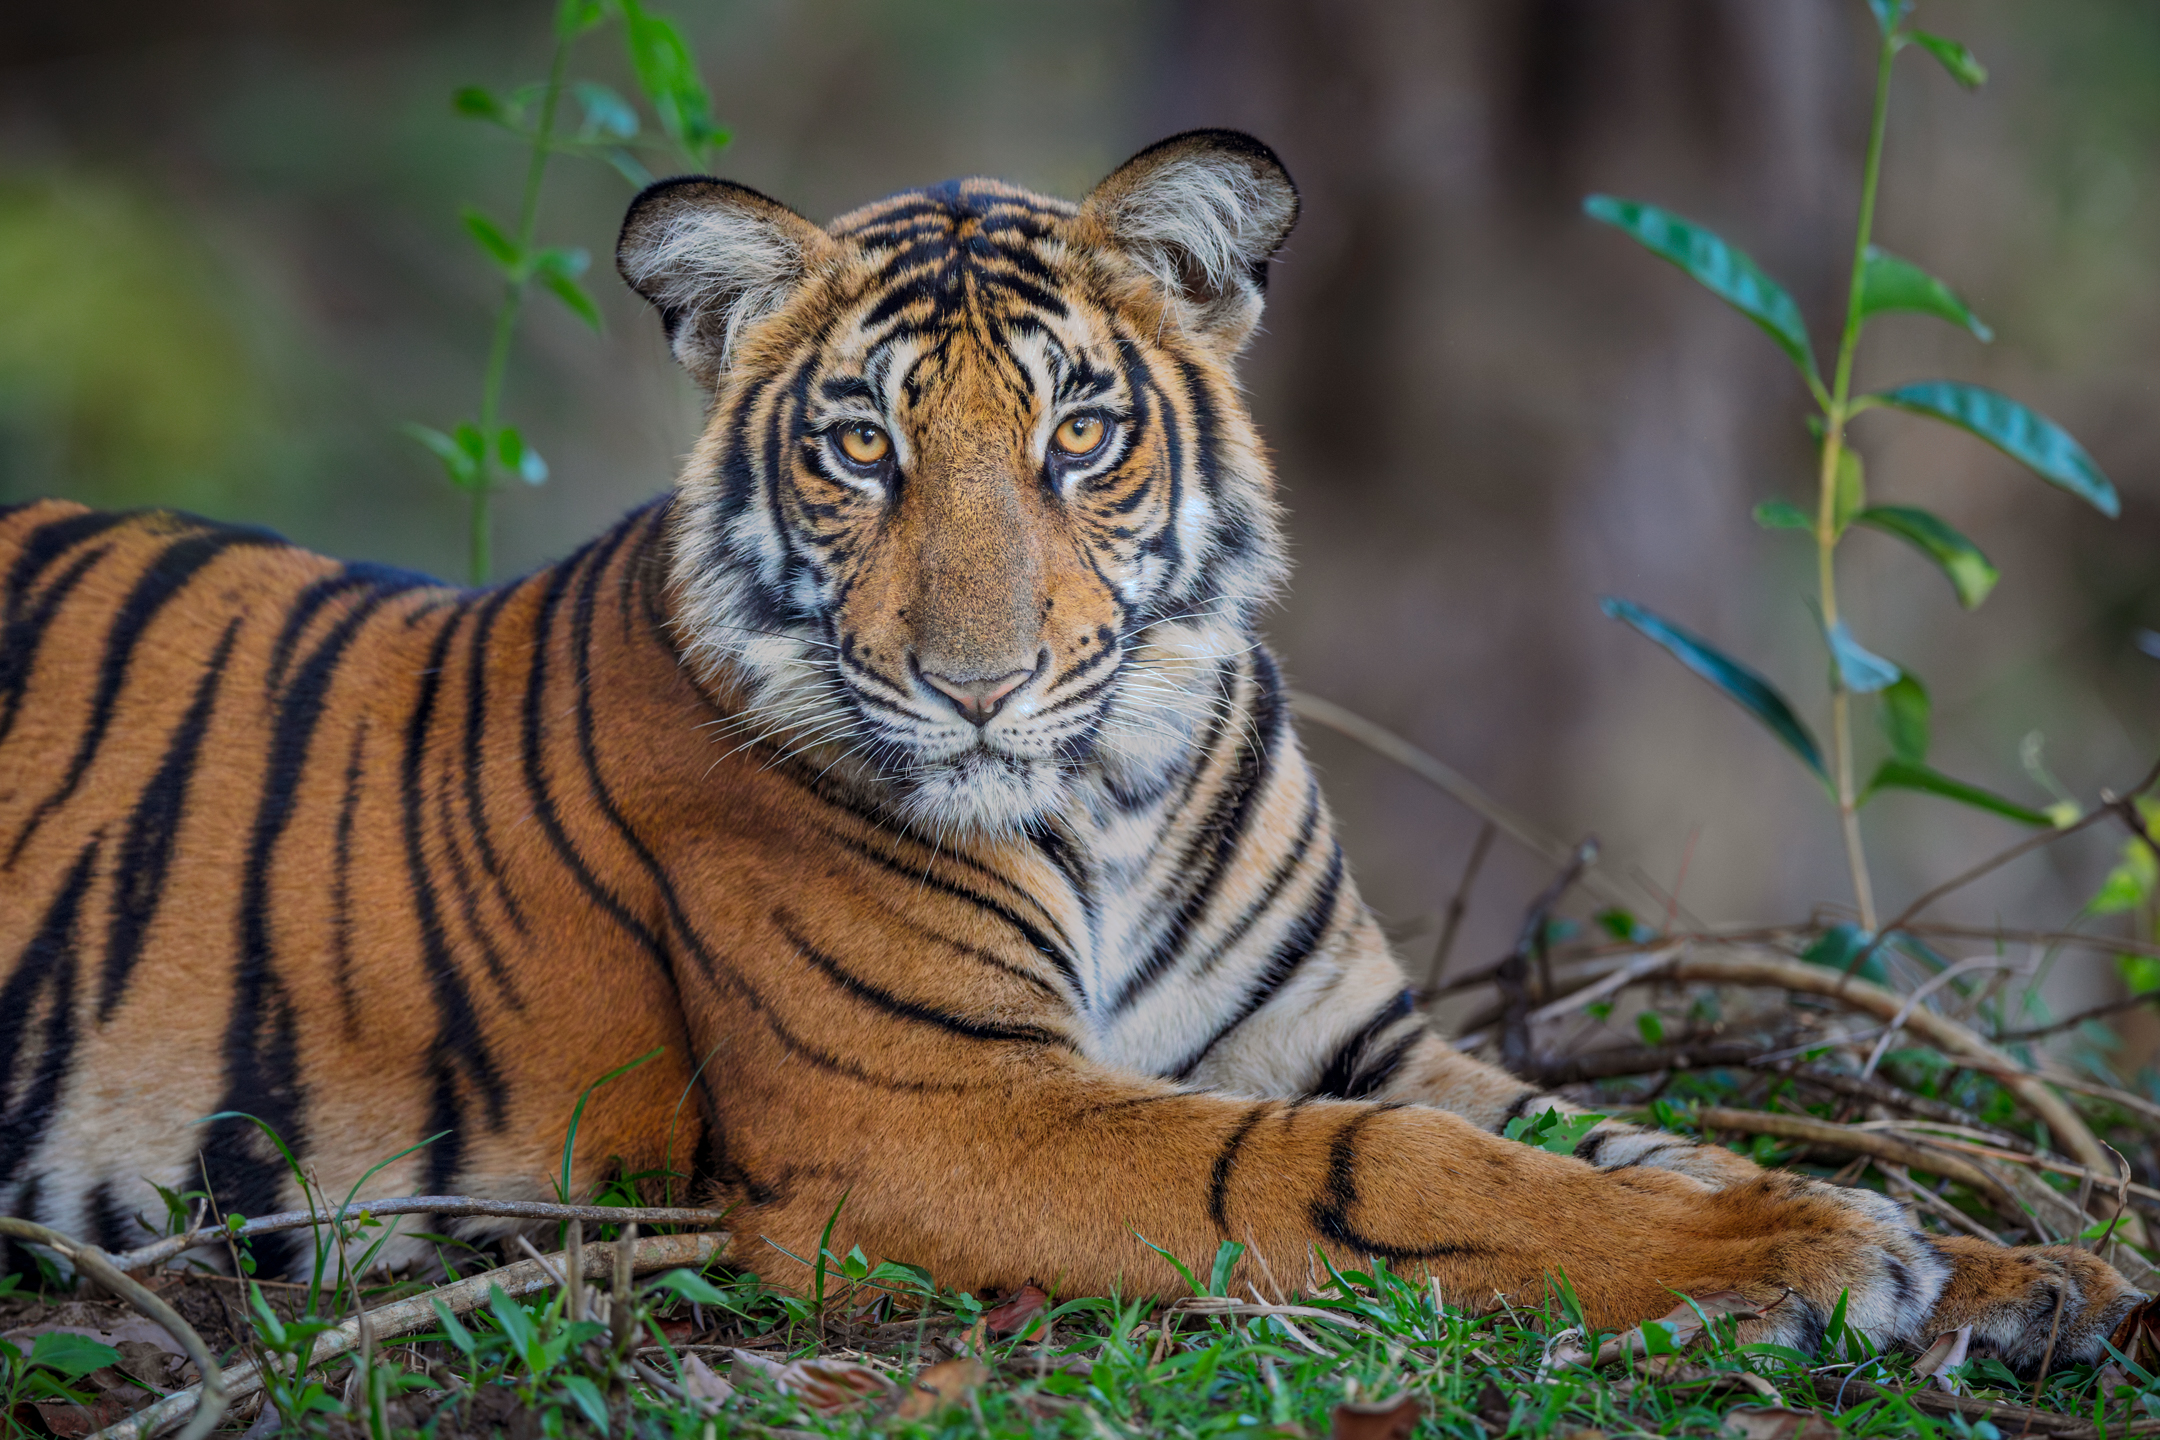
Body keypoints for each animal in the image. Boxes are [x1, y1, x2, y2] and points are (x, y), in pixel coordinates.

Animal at [0, 129, 2139, 1370]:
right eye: (861, 445)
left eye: (1080, 435)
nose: (974, 686)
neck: (1118, 783)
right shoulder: (936, 1108)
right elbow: (1396, 1178)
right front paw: (1806, 1248)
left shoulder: (1344, 1031)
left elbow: (1591, 1130)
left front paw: (2016, 1269)